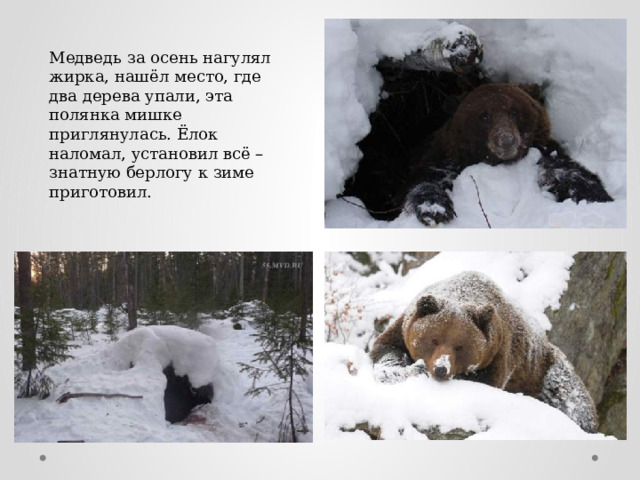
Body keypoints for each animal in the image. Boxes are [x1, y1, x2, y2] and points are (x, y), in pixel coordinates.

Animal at [370, 271, 598, 433]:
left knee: (572, 399)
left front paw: (418, 370)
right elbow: (386, 347)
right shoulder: (403, 327)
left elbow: (486, 380)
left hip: (544, 371)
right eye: (434, 339)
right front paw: (393, 370)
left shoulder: (499, 351)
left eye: (460, 346)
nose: (441, 368)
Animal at [404, 83, 613, 226]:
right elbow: (428, 179)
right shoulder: (445, 158)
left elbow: (567, 172)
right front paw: (434, 209)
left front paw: (596, 196)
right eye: (484, 116)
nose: (506, 139)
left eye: (514, 111)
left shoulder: (543, 152)